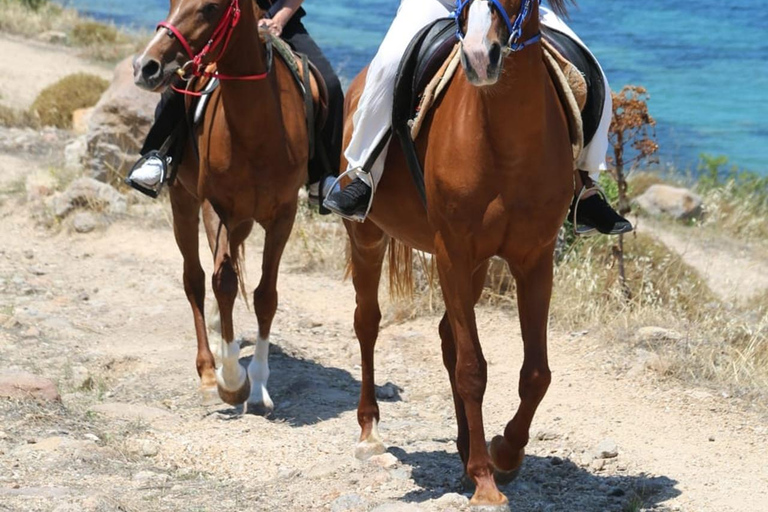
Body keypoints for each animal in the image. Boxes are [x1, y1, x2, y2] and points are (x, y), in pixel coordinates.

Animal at [133, 0, 309, 412]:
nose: (147, 66)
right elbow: (222, 281)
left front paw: (258, 384)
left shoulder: (283, 216)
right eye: (170, 3)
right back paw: (208, 370)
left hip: (244, 219)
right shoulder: (216, 208)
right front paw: (232, 380)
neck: (258, 131)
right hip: (185, 202)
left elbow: (265, 295)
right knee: (195, 279)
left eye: (211, 8)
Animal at [342, 0, 574, 505]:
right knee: (367, 322)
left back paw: (468, 445)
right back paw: (370, 432)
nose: (480, 58)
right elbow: (473, 368)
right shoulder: (451, 251)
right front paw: (486, 481)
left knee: (448, 337)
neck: (506, 142)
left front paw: (504, 452)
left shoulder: (533, 259)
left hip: (477, 268)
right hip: (367, 235)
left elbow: (536, 373)